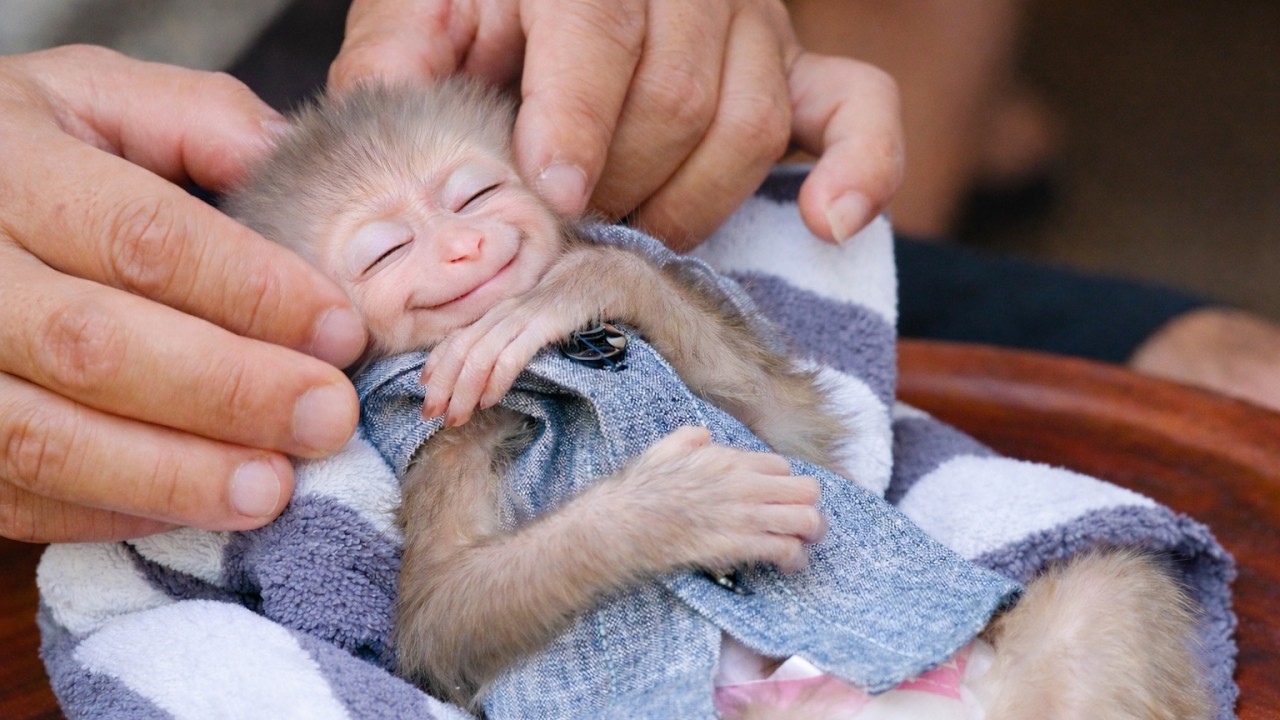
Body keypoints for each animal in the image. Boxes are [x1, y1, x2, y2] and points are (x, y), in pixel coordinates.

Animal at [224, 78, 1212, 720]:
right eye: (389, 251)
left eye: (475, 193)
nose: (465, 249)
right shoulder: (443, 436)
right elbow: (438, 618)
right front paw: (679, 507)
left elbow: (804, 438)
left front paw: (579, 284)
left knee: (1103, 599)